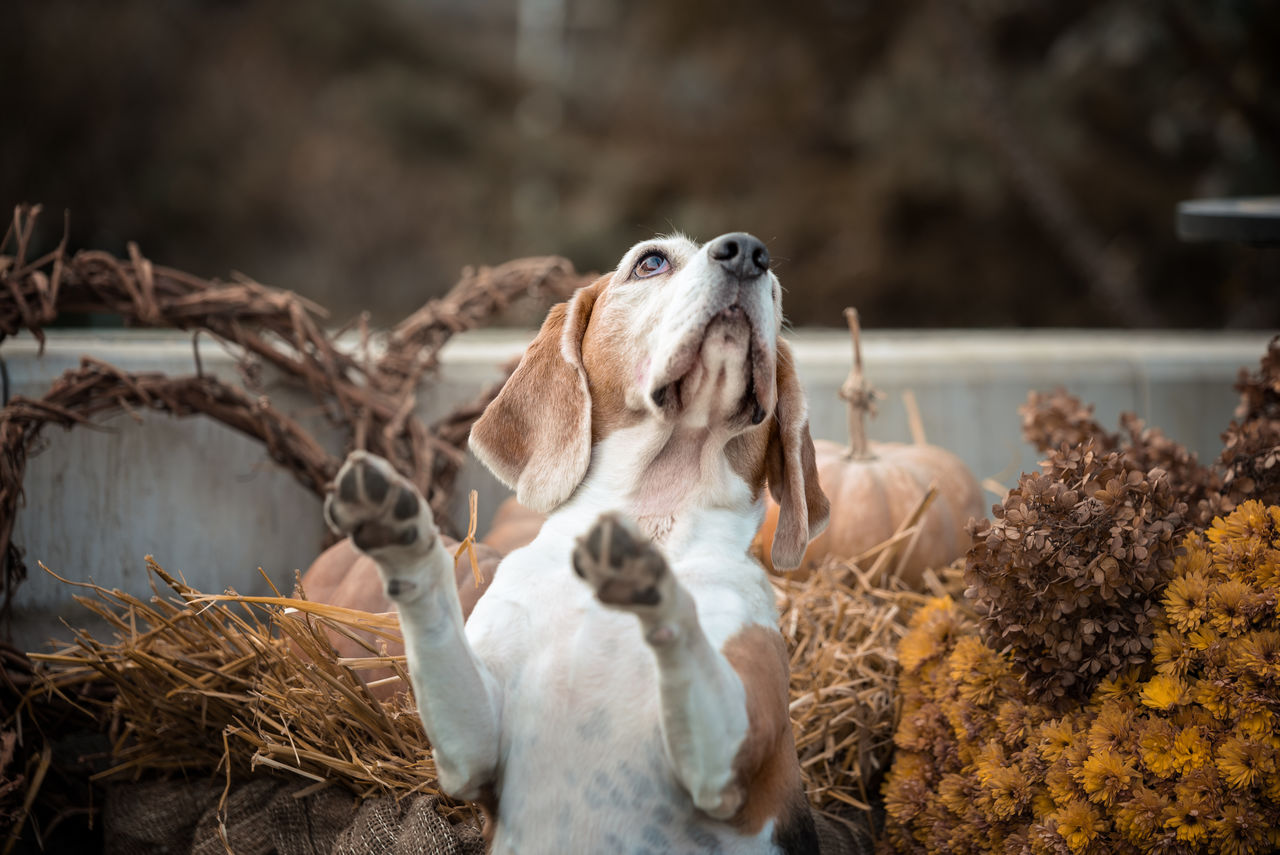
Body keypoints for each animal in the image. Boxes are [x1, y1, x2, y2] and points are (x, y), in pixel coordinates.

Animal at [322, 230, 829, 849]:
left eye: (776, 296)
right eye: (651, 262)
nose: (749, 252)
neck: (656, 507)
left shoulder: (730, 767)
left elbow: (684, 624)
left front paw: (646, 574)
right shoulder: (473, 747)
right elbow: (436, 624)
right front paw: (400, 536)